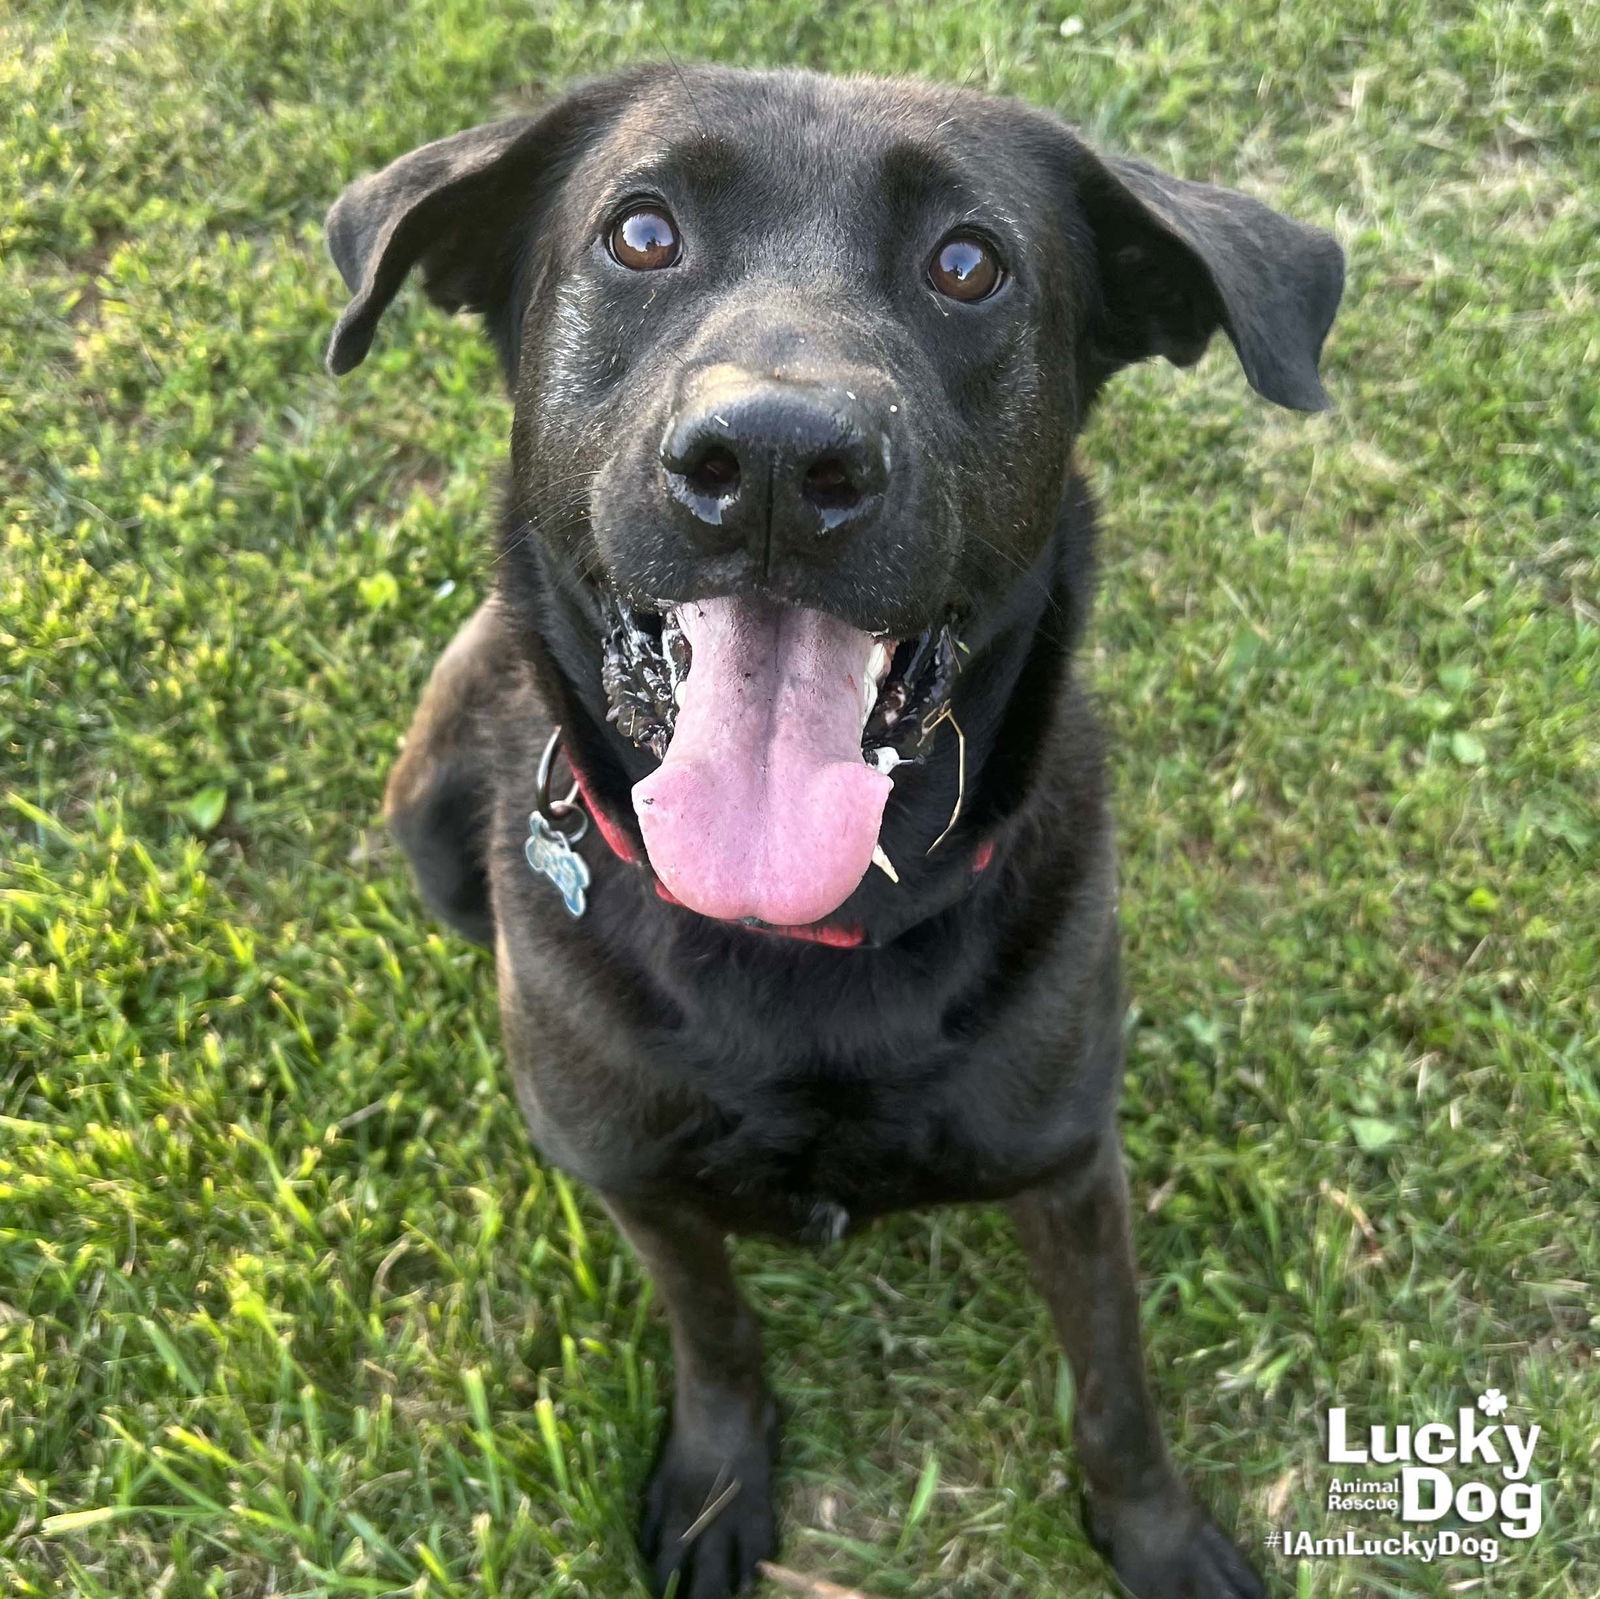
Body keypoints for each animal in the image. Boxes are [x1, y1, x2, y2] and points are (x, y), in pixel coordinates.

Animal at [331, 65, 1344, 1599]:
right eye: (641, 232)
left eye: (969, 264)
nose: (771, 458)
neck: (801, 937)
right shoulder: (637, 1181)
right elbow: (716, 1331)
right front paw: (714, 1485)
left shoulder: (1069, 1161)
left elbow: (1113, 1380)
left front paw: (1158, 1536)